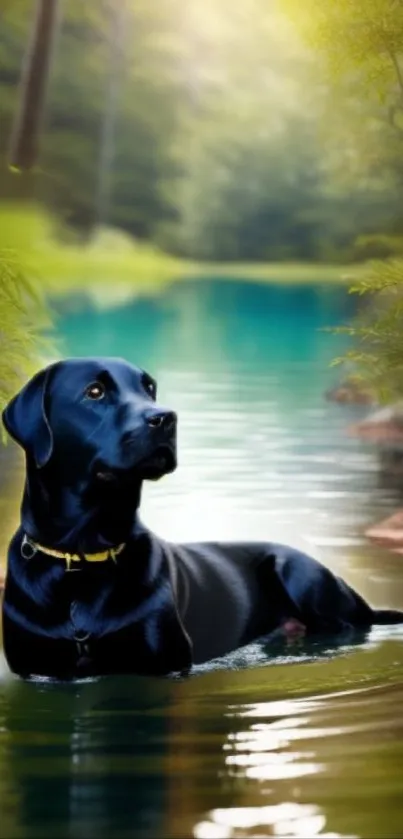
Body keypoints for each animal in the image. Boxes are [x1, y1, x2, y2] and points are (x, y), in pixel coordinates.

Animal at [3, 356, 403, 684]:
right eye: (95, 391)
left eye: (149, 388)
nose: (166, 418)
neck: (83, 555)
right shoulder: (37, 671)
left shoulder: (164, 665)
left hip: (301, 575)